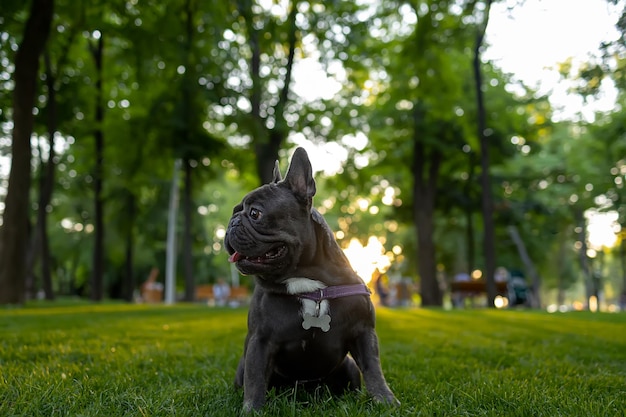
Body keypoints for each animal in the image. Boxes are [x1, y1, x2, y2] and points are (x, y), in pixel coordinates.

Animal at [227, 146, 398, 410]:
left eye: (255, 213)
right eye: (236, 211)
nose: (232, 222)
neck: (309, 283)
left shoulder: (363, 333)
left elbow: (373, 369)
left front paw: (385, 400)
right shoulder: (260, 340)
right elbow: (255, 380)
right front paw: (251, 410)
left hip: (349, 367)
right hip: (243, 366)